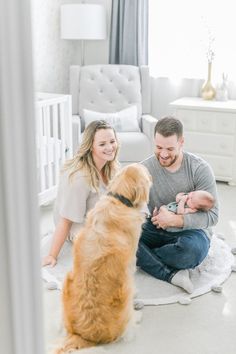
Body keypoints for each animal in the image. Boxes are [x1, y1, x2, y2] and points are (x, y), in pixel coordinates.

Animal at [53, 162, 151, 352]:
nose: (152, 174)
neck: (119, 199)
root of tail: (83, 336)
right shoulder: (131, 259)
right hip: (125, 291)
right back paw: (137, 315)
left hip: (67, 279)